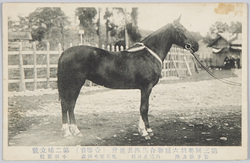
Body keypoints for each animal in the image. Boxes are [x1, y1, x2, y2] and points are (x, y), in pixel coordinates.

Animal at [57, 15, 199, 139]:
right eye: (181, 29)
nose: (196, 45)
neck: (148, 55)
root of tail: (64, 53)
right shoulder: (147, 87)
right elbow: (144, 108)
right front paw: (147, 132)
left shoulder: (144, 88)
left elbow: (142, 107)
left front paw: (142, 130)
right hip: (74, 84)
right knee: (67, 104)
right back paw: (68, 132)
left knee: (71, 105)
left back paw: (75, 131)